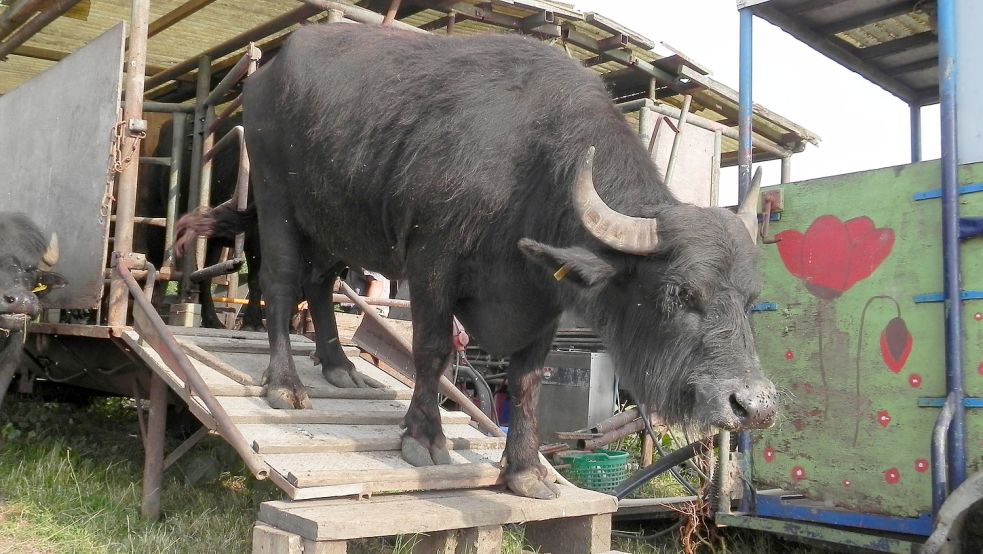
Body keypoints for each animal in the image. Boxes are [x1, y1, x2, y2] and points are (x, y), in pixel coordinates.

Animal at [177, 23, 776, 498]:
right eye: (679, 294)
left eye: (750, 301)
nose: (754, 405)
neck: (531, 169)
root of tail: (266, 75)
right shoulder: (432, 264)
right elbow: (433, 350)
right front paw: (423, 438)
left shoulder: (543, 298)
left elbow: (529, 380)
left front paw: (525, 472)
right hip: (276, 198)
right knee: (280, 282)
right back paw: (285, 384)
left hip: (334, 221)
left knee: (321, 283)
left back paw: (339, 366)